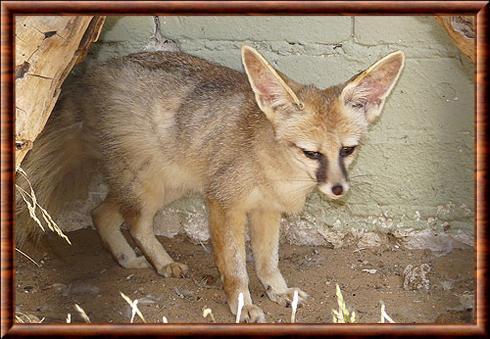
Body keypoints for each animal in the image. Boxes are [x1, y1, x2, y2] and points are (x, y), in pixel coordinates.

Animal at [16, 45, 406, 324]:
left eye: (348, 150)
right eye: (311, 153)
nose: (338, 189)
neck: (273, 167)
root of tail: (90, 75)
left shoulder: (266, 211)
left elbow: (267, 262)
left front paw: (278, 292)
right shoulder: (223, 204)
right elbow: (235, 268)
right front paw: (242, 306)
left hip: (163, 185)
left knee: (102, 213)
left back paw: (129, 258)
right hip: (149, 189)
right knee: (134, 223)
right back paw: (162, 262)